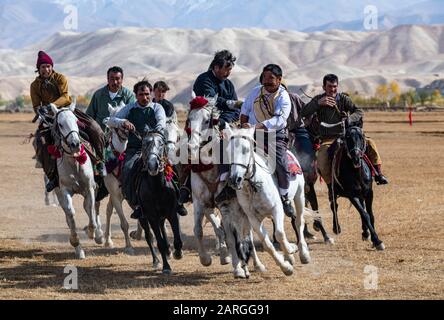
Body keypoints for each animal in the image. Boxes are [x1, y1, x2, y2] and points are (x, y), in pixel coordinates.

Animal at [48, 101, 104, 258]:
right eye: (60, 124)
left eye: (76, 121)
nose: (75, 144)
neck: (75, 162)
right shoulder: (65, 191)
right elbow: (71, 213)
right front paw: (75, 241)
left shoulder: (90, 188)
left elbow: (91, 209)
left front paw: (93, 232)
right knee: (69, 215)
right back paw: (79, 251)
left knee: (93, 208)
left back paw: (99, 235)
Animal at [136, 130, 183, 272]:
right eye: (144, 144)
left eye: (161, 144)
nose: (153, 165)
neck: (157, 187)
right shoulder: (151, 216)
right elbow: (159, 242)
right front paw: (166, 267)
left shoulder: (172, 212)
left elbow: (177, 239)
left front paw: (177, 253)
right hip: (143, 217)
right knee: (149, 236)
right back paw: (156, 260)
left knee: (163, 227)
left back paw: (169, 250)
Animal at [225, 125, 308, 276]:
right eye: (228, 151)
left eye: (246, 150)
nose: (235, 179)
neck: (253, 186)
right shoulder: (253, 218)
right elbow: (267, 243)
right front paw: (286, 267)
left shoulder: (277, 209)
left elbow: (280, 234)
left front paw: (290, 250)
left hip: (299, 195)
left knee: (299, 222)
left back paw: (303, 253)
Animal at [328, 122, 384, 250]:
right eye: (348, 138)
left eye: (361, 137)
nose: (356, 157)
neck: (357, 173)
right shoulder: (352, 195)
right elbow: (364, 214)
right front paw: (377, 240)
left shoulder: (369, 193)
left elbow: (370, 214)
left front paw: (371, 237)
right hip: (332, 190)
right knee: (334, 206)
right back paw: (337, 227)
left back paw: (365, 232)